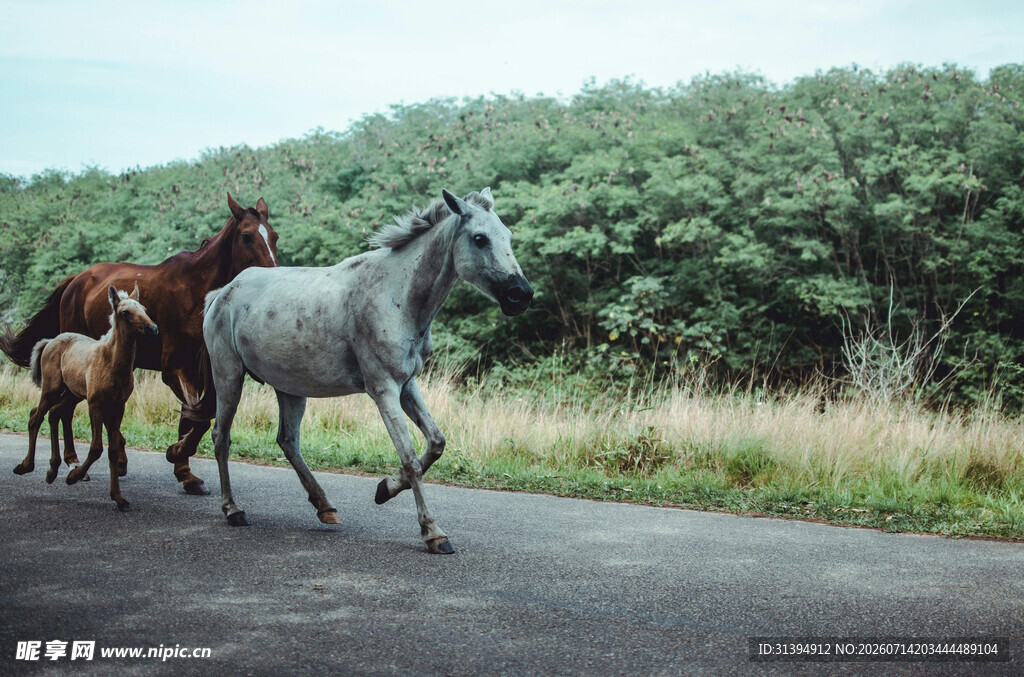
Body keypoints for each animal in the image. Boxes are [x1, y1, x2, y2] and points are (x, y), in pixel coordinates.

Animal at [14, 285, 158, 510]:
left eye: (143, 309)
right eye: (125, 312)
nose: (153, 329)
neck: (111, 363)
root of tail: (49, 341)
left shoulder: (119, 406)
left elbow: (113, 449)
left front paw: (118, 497)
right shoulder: (95, 403)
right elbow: (97, 447)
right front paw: (73, 476)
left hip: (71, 393)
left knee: (53, 413)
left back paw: (52, 470)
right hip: (51, 388)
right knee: (35, 417)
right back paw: (26, 466)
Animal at [202, 187, 533, 553]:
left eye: (508, 235)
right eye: (479, 238)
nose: (521, 295)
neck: (396, 296)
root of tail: (221, 294)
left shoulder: (407, 385)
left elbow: (435, 443)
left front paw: (384, 489)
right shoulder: (383, 389)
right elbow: (410, 458)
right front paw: (433, 532)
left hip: (288, 387)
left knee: (288, 442)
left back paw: (325, 507)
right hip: (229, 377)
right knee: (221, 438)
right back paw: (233, 509)